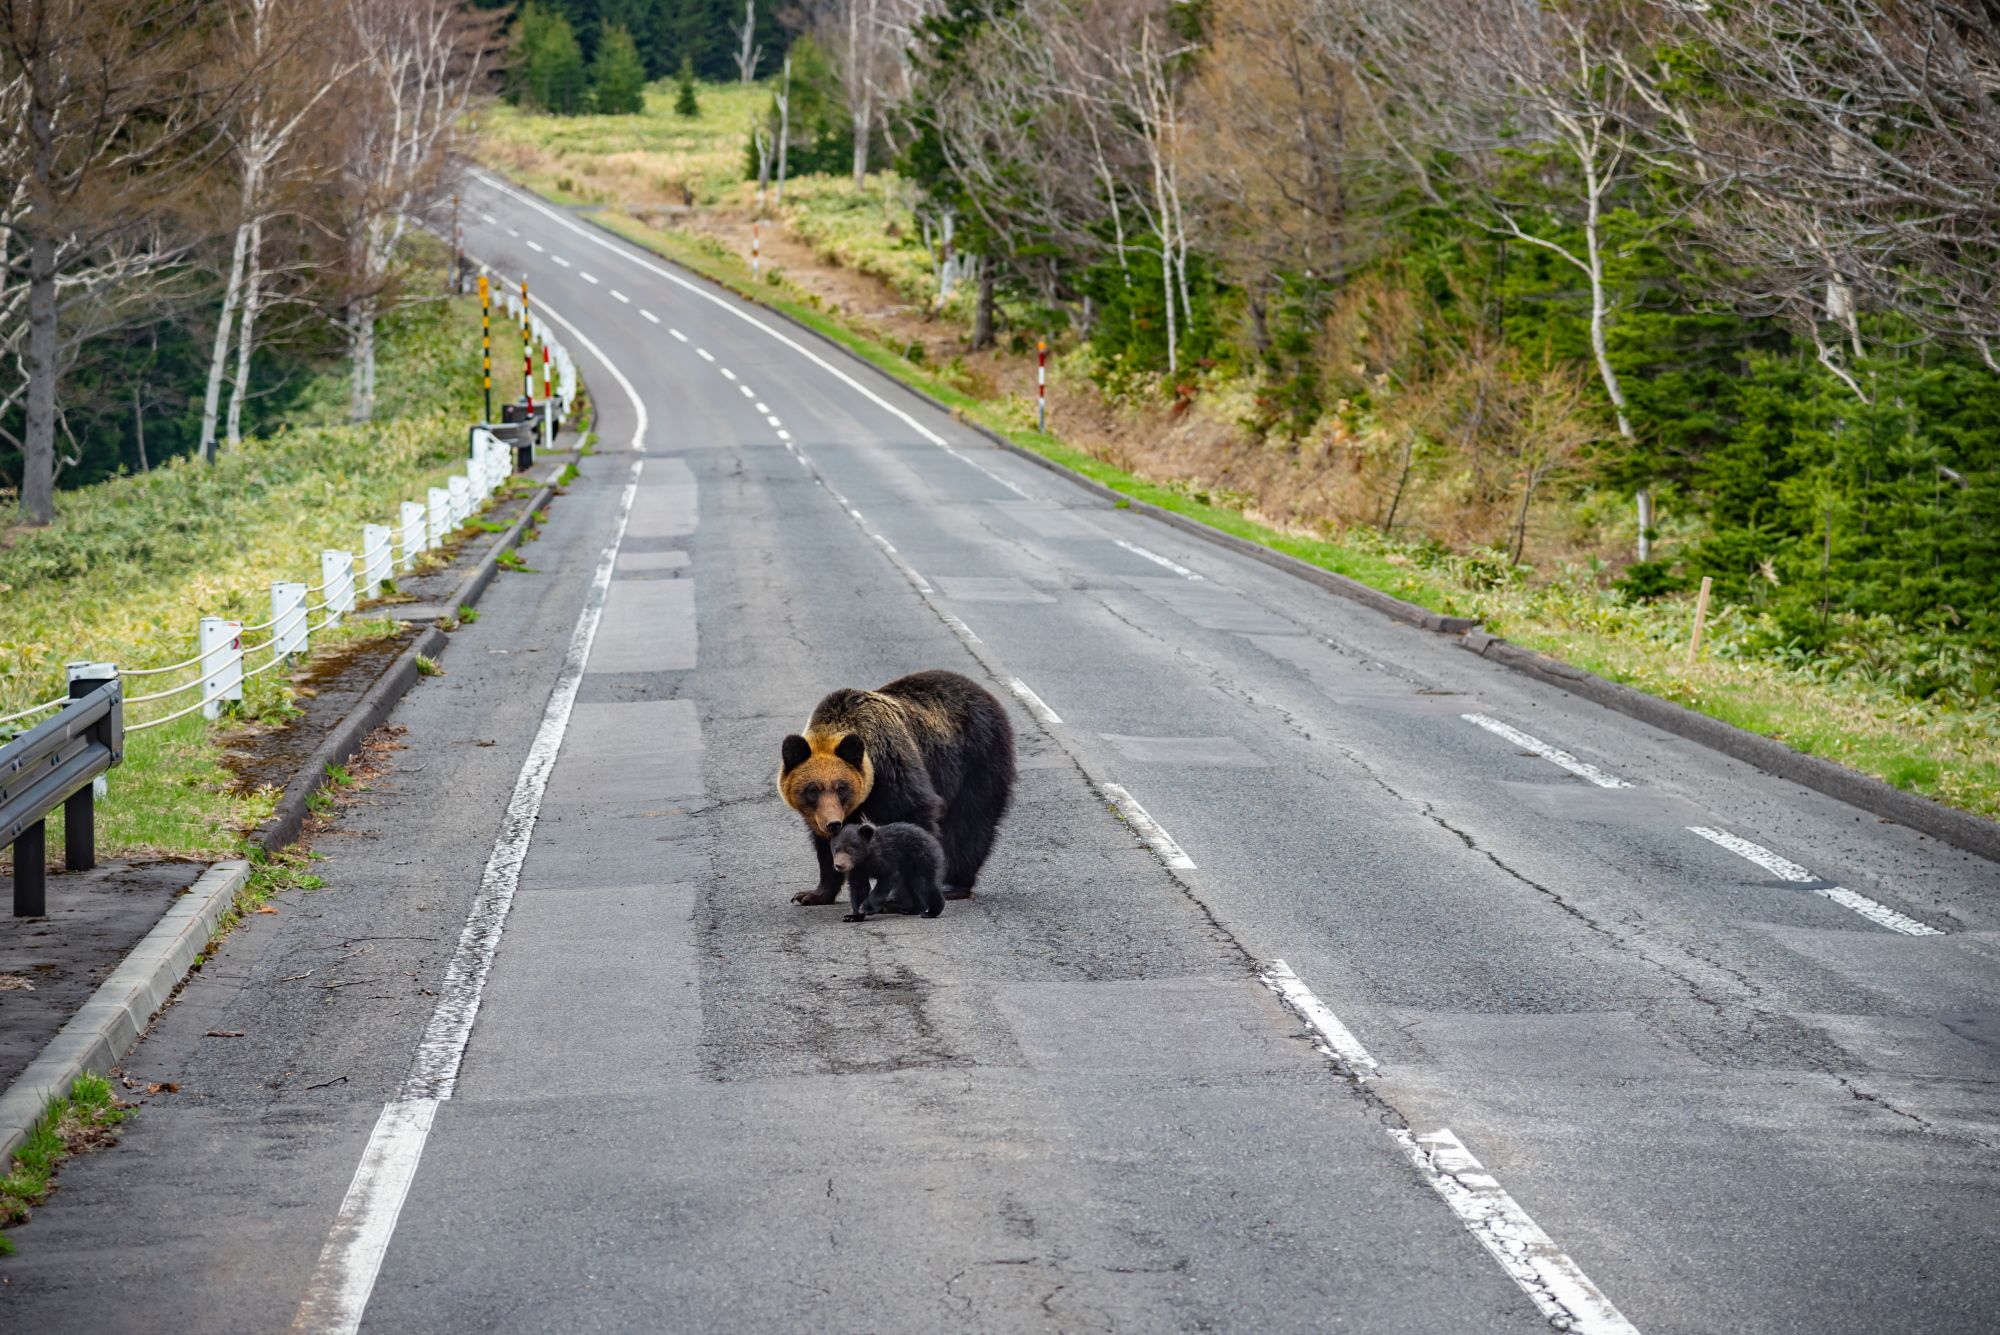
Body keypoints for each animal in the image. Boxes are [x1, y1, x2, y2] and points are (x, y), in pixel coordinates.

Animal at [778, 669, 1014, 909]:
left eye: (841, 788)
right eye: (812, 790)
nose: (833, 823)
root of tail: (981, 691)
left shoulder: (892, 769)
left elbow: (913, 817)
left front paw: (901, 894)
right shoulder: (823, 814)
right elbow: (828, 846)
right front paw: (812, 894)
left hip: (978, 758)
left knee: (969, 821)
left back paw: (953, 884)